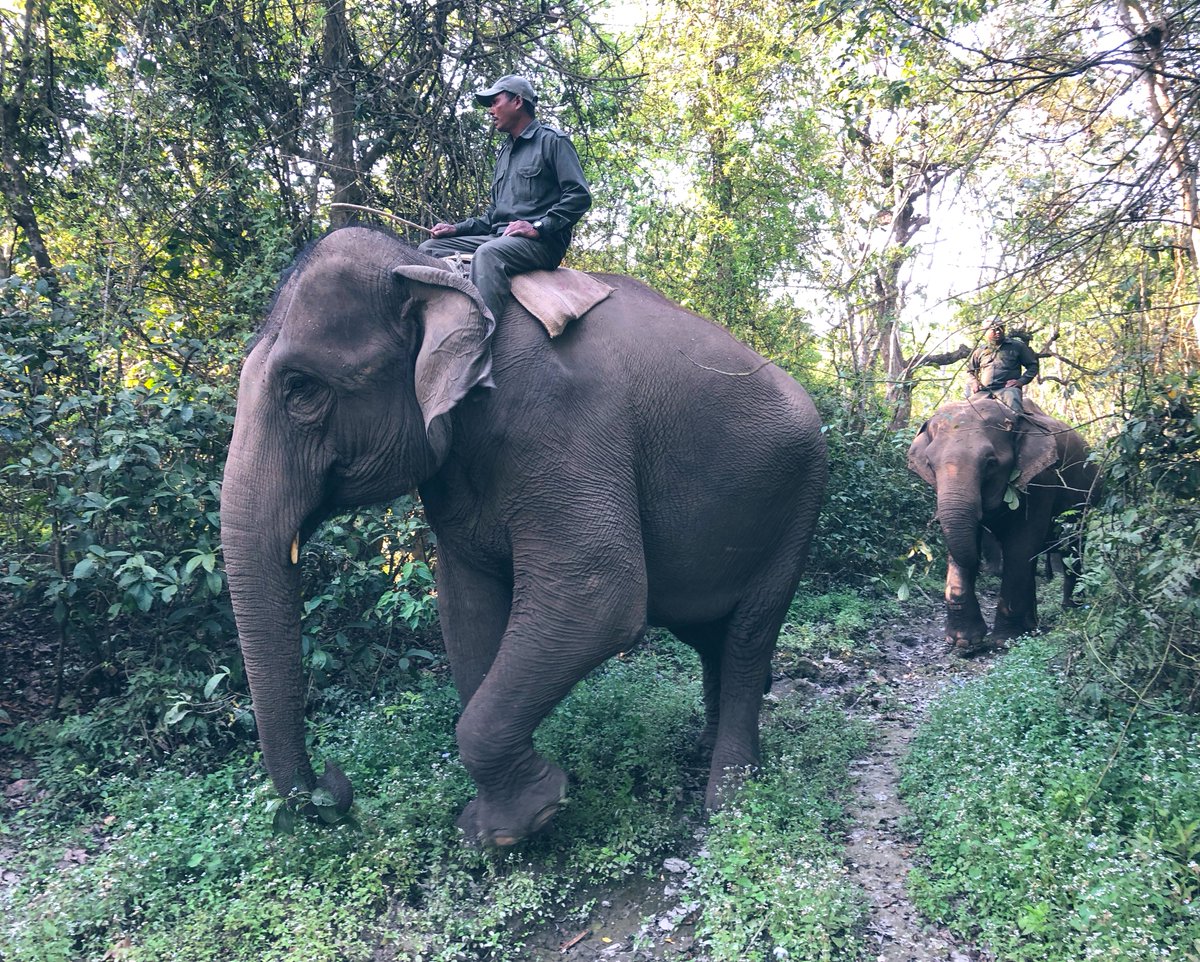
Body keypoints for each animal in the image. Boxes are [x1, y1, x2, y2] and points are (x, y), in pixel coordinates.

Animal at [220, 225, 830, 839]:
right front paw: (497, 822)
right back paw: (704, 750)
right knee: (707, 632)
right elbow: (465, 606)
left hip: (800, 500)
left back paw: (729, 801)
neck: (426, 273)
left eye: (301, 388)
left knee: (748, 637)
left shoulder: (564, 425)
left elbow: (599, 597)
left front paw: (521, 821)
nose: (333, 783)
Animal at [907, 393, 1099, 647]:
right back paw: (1033, 624)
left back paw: (1070, 610)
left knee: (1072, 546)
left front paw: (1004, 639)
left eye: (990, 463)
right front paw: (963, 641)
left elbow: (1021, 545)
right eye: (929, 464)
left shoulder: (1041, 479)